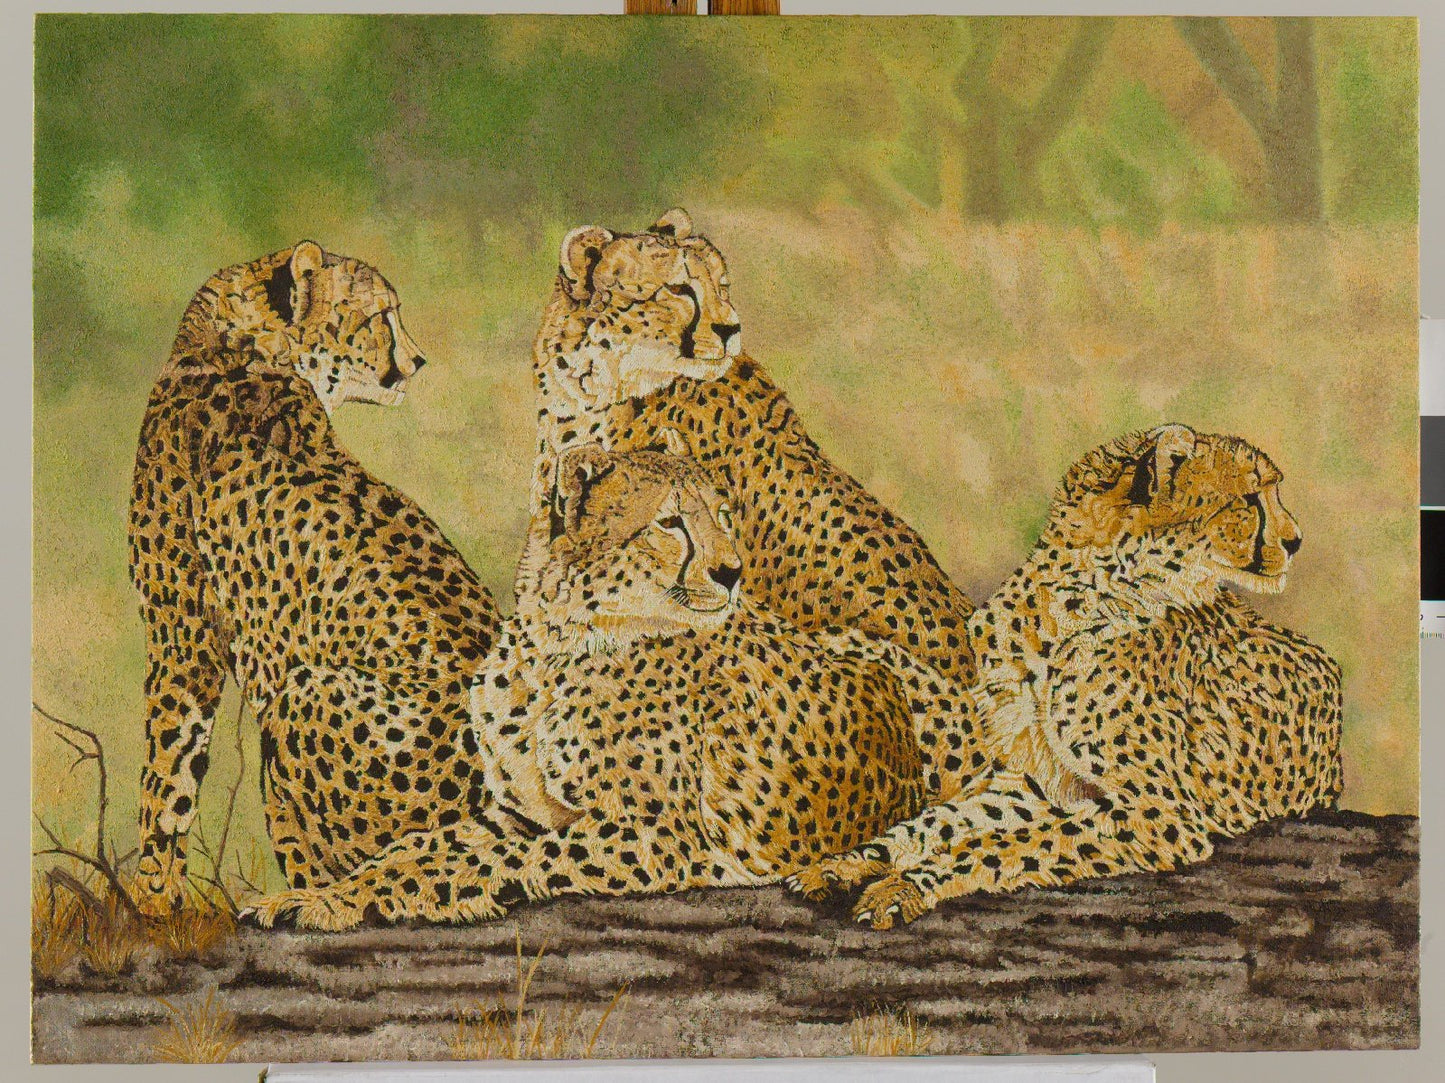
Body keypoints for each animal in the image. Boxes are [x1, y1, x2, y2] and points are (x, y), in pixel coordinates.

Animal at [130, 241, 502, 917]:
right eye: (381, 314)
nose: (417, 360)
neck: (239, 346)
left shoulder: (184, 639)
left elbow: (168, 775)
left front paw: (150, 899)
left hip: (303, 692)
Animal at [240, 447, 989, 932]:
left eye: (723, 514)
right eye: (669, 522)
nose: (731, 572)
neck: (553, 647)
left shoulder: (656, 837)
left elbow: (484, 860)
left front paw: (358, 900)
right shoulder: (517, 811)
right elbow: (420, 845)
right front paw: (324, 893)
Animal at [786, 423, 1343, 929]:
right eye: (1250, 498)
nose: (1296, 541)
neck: (1075, 601)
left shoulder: (1160, 812)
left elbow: (1006, 843)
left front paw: (905, 886)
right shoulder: (1035, 782)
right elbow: (935, 824)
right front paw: (847, 864)